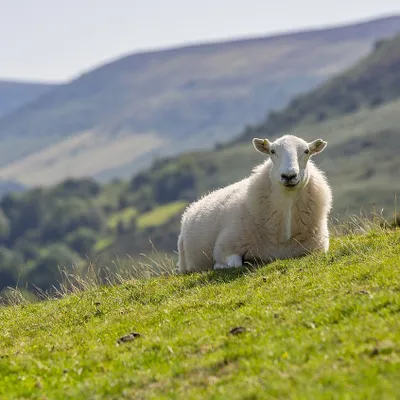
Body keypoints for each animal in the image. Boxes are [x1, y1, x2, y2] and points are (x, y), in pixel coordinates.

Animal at [177, 134, 332, 272]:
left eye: (306, 151)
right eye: (272, 151)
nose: (289, 176)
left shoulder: (318, 248)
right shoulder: (225, 247)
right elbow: (234, 264)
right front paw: (219, 266)